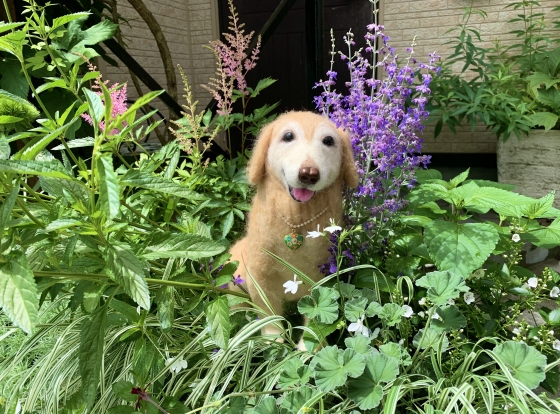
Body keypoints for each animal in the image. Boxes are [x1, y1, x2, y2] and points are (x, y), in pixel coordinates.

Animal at [229, 111, 359, 350]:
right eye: (288, 136)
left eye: (329, 140)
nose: (309, 174)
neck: (296, 218)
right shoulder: (260, 276)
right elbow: (268, 312)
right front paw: (273, 340)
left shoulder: (321, 277)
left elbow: (316, 316)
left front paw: (309, 346)